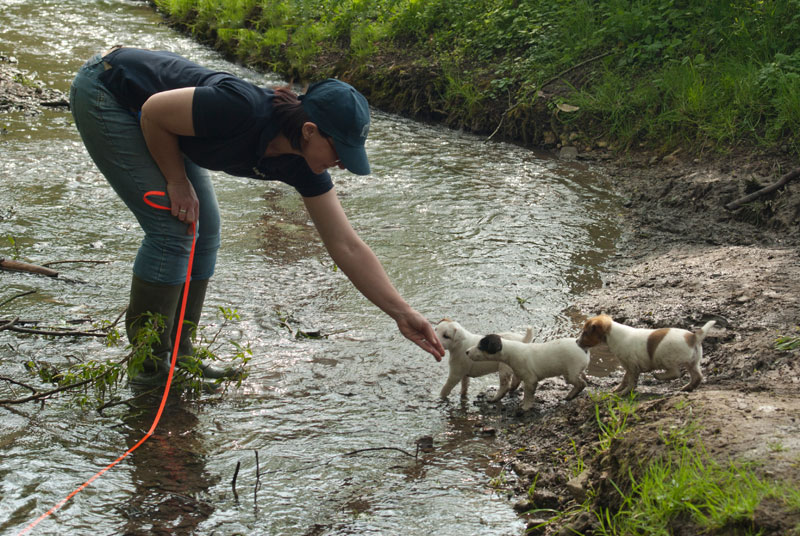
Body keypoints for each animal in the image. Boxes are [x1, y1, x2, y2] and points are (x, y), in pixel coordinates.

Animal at [580, 312, 716, 396]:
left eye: (585, 333)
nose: (577, 342)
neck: (613, 334)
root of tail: (694, 337)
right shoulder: (628, 366)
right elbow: (625, 379)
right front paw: (618, 388)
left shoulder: (633, 366)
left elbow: (631, 382)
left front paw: (624, 393)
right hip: (693, 362)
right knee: (697, 377)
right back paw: (687, 388)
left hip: (666, 358)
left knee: (675, 373)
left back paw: (659, 376)